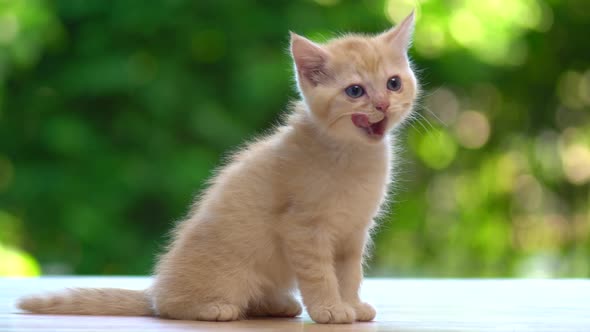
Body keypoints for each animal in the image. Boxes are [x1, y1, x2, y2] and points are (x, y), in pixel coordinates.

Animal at [16, 12, 418, 324]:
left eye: (393, 83)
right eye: (355, 91)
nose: (383, 104)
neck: (353, 156)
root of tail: (155, 291)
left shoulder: (354, 233)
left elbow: (350, 274)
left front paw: (351, 304)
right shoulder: (303, 228)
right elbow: (320, 274)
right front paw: (330, 310)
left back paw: (277, 304)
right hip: (220, 277)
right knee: (171, 308)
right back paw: (213, 307)